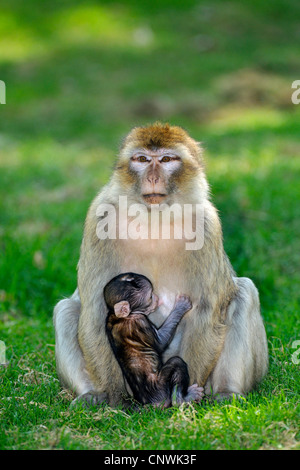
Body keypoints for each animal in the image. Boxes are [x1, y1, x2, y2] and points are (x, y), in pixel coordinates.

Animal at [104, 272, 205, 408]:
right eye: (150, 296)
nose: (157, 298)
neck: (119, 317)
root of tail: (150, 403)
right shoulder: (140, 322)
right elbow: (160, 343)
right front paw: (180, 306)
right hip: (161, 388)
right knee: (176, 363)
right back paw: (185, 398)